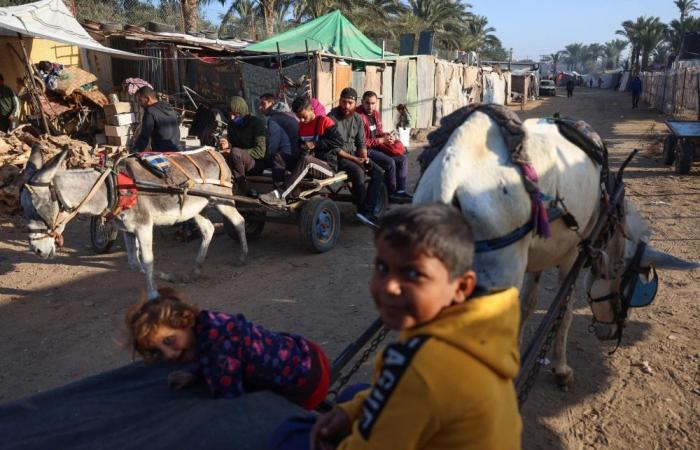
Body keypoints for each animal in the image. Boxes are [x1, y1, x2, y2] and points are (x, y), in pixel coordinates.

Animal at [412, 106, 696, 386]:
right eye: (634, 285)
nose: (611, 332)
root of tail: (451, 174)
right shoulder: (573, 255)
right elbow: (564, 312)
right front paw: (561, 368)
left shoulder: (539, 254)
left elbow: (528, 305)